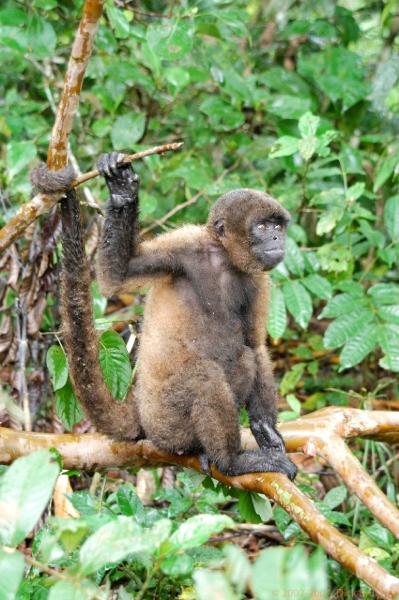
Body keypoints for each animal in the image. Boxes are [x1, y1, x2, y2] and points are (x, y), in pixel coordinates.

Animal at [32, 154, 296, 478]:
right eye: (262, 226)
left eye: (277, 225)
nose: (277, 237)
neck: (224, 260)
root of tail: (144, 418)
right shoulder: (185, 246)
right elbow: (117, 275)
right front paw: (122, 191)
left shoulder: (257, 279)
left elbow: (255, 344)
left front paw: (264, 429)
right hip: (167, 423)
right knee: (204, 378)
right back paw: (231, 461)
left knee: (245, 356)